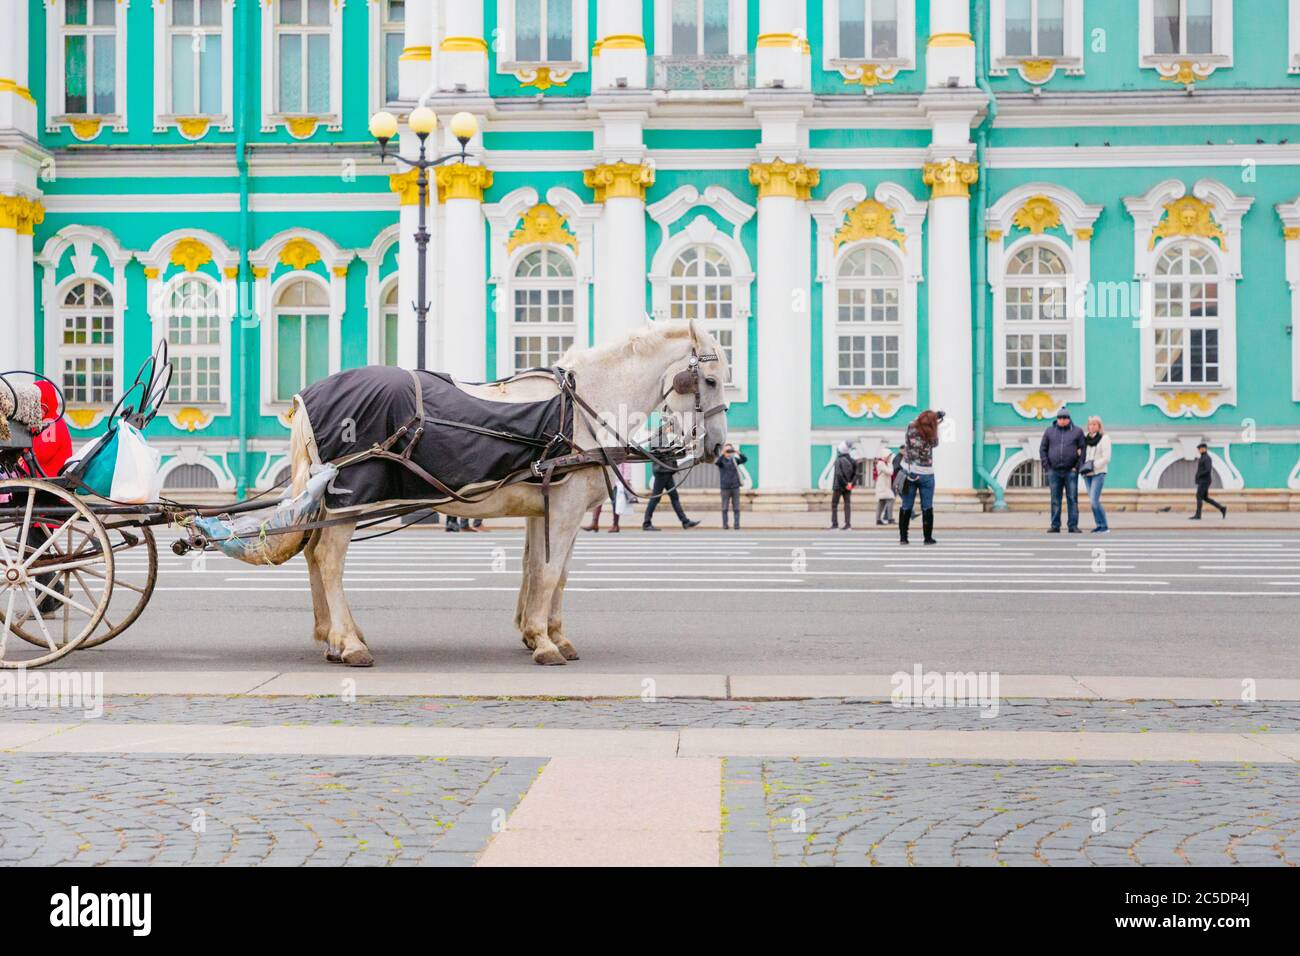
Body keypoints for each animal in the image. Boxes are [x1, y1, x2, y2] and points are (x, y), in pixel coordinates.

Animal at [253, 319, 722, 665]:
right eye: (714, 380)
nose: (716, 448)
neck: (583, 405)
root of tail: (307, 395)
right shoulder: (565, 509)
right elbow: (550, 572)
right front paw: (545, 644)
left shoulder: (544, 510)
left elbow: (545, 571)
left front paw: (545, 634)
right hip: (349, 502)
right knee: (329, 561)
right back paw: (349, 644)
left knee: (314, 557)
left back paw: (333, 637)